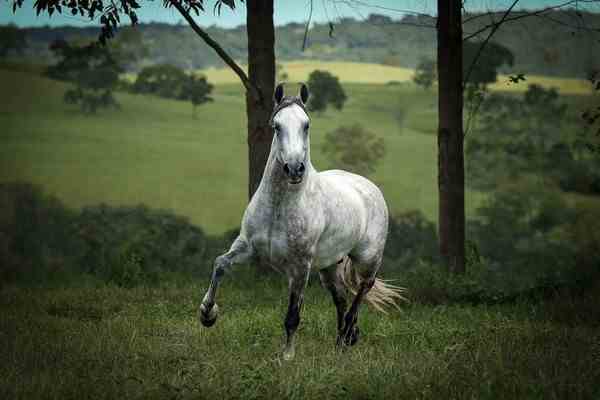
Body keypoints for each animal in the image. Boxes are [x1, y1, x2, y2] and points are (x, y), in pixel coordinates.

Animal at [198, 83, 404, 360]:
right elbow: (220, 264)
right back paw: (339, 344)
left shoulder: (299, 268)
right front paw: (207, 314)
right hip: (329, 267)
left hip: (367, 259)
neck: (279, 207)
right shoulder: (247, 247)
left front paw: (286, 357)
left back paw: (349, 336)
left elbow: (293, 315)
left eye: (306, 125)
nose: (294, 169)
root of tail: (369, 187)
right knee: (341, 298)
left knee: (361, 291)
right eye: (277, 125)